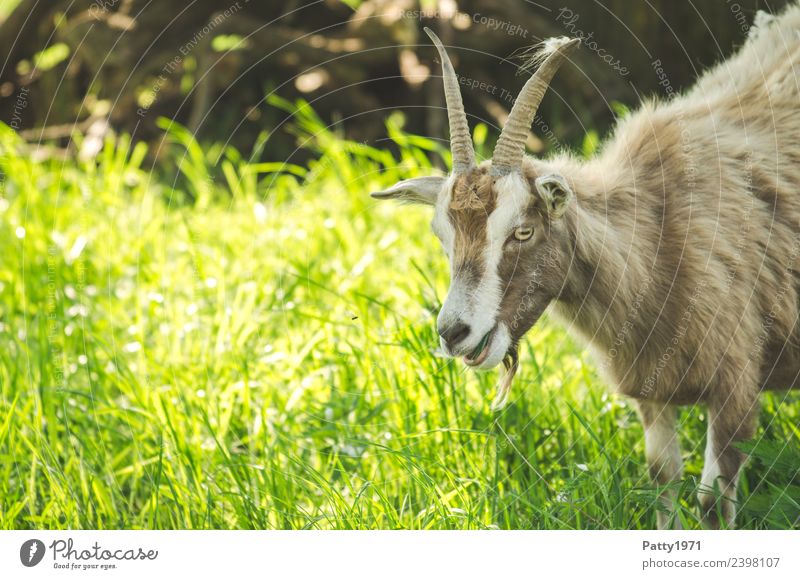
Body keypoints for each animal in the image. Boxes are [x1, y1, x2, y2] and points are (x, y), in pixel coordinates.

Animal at [372, 4, 800, 532]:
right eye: (442, 235)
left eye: (523, 231)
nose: (453, 332)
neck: (659, 237)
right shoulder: (650, 391)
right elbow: (662, 479)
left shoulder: (735, 387)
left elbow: (711, 502)